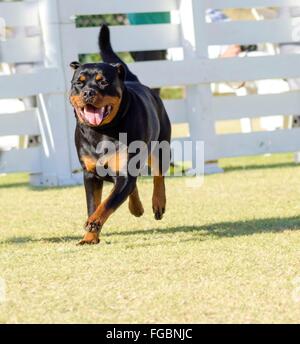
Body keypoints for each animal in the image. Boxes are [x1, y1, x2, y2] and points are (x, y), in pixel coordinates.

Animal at [68, 24, 171, 245]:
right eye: (79, 82)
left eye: (103, 82)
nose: (88, 92)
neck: (101, 131)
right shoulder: (91, 174)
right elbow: (94, 204)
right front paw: (89, 237)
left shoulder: (125, 170)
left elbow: (106, 204)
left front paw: (93, 223)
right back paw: (136, 207)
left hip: (161, 144)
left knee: (158, 174)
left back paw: (158, 203)